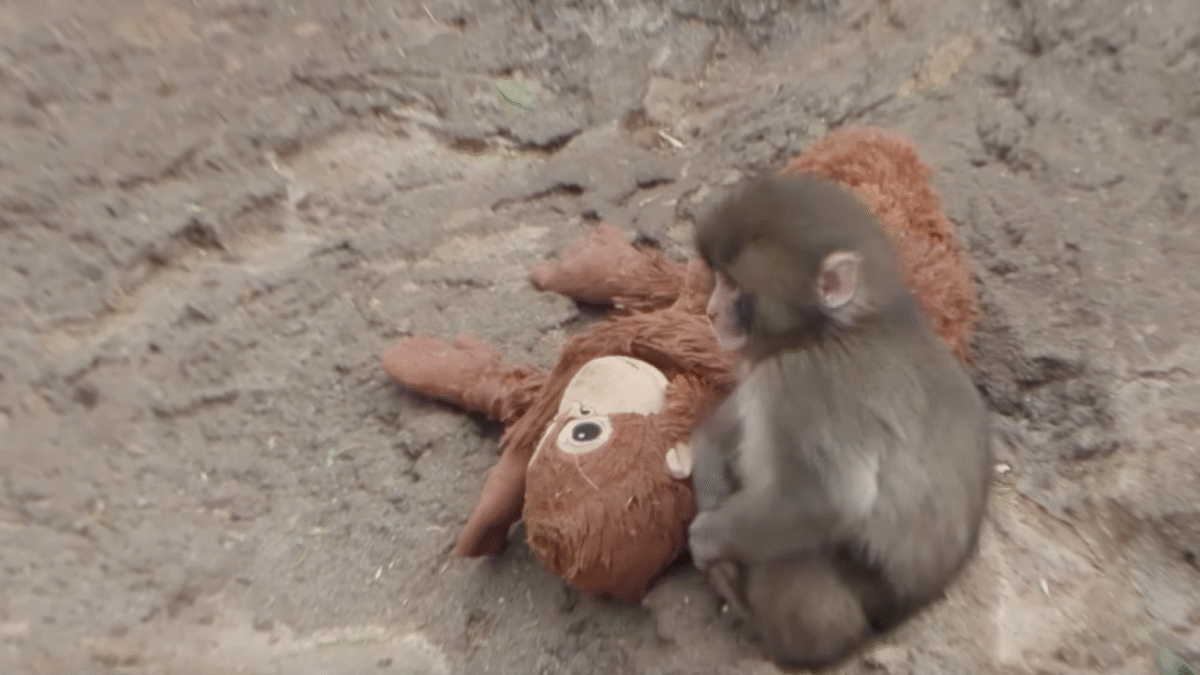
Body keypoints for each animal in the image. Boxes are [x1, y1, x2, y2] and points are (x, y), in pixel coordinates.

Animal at [686, 173, 992, 669]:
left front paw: (709, 539)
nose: (712, 311)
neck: (843, 327)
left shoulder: (802, 381)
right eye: (718, 280)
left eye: (733, 286)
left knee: (794, 557)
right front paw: (708, 469)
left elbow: (825, 501)